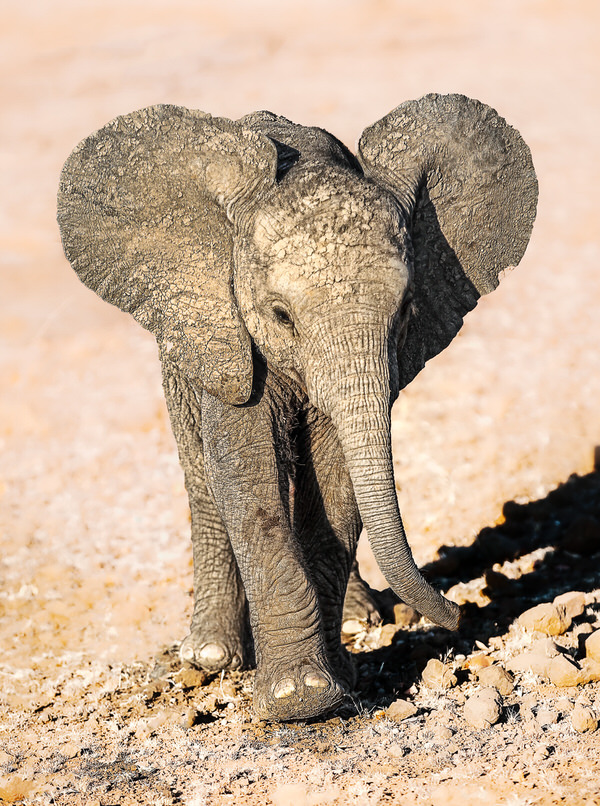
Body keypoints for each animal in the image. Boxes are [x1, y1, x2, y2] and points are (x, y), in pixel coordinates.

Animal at [57, 94, 537, 721]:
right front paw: (299, 699)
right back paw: (210, 655)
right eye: (281, 315)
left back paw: (359, 620)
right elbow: (246, 475)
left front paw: (336, 682)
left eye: (408, 309)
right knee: (201, 478)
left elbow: (338, 481)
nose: (462, 618)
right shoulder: (230, 334)